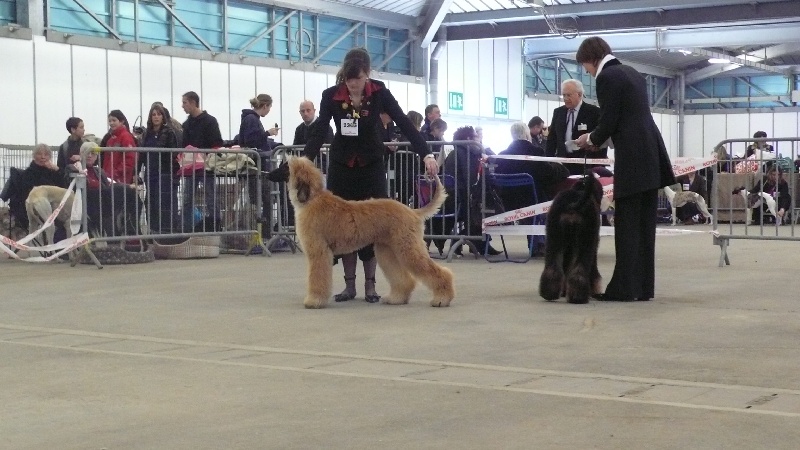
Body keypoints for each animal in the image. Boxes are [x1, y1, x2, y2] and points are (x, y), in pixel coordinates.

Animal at [286, 157, 455, 309]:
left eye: (288, 168)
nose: (277, 172)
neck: (312, 198)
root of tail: (412, 211)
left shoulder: (318, 252)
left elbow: (317, 278)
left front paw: (314, 301)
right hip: (387, 250)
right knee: (404, 279)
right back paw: (397, 298)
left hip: (408, 248)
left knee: (439, 272)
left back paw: (442, 299)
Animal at [539, 174, 603, 304]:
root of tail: (573, 204)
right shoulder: (592, 246)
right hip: (585, 241)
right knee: (579, 271)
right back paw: (579, 297)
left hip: (554, 237)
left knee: (552, 268)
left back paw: (549, 294)